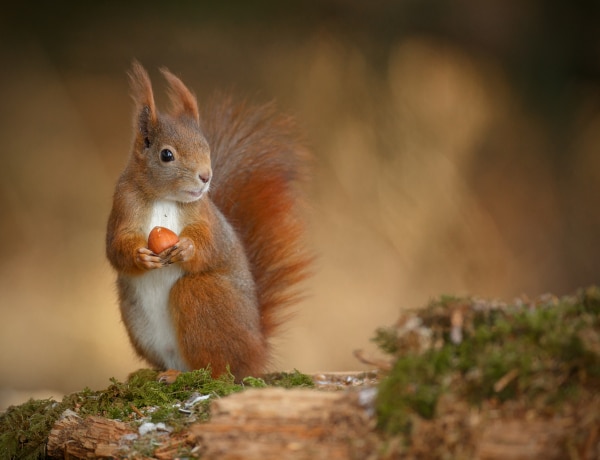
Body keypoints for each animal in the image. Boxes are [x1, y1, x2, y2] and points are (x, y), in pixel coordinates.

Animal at [105, 63, 310, 382]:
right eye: (166, 154)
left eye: (206, 146)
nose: (205, 176)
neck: (164, 198)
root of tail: (256, 352)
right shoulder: (123, 206)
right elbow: (116, 247)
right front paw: (140, 256)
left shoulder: (206, 217)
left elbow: (210, 244)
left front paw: (187, 248)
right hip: (138, 321)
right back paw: (164, 373)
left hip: (203, 296)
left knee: (217, 367)